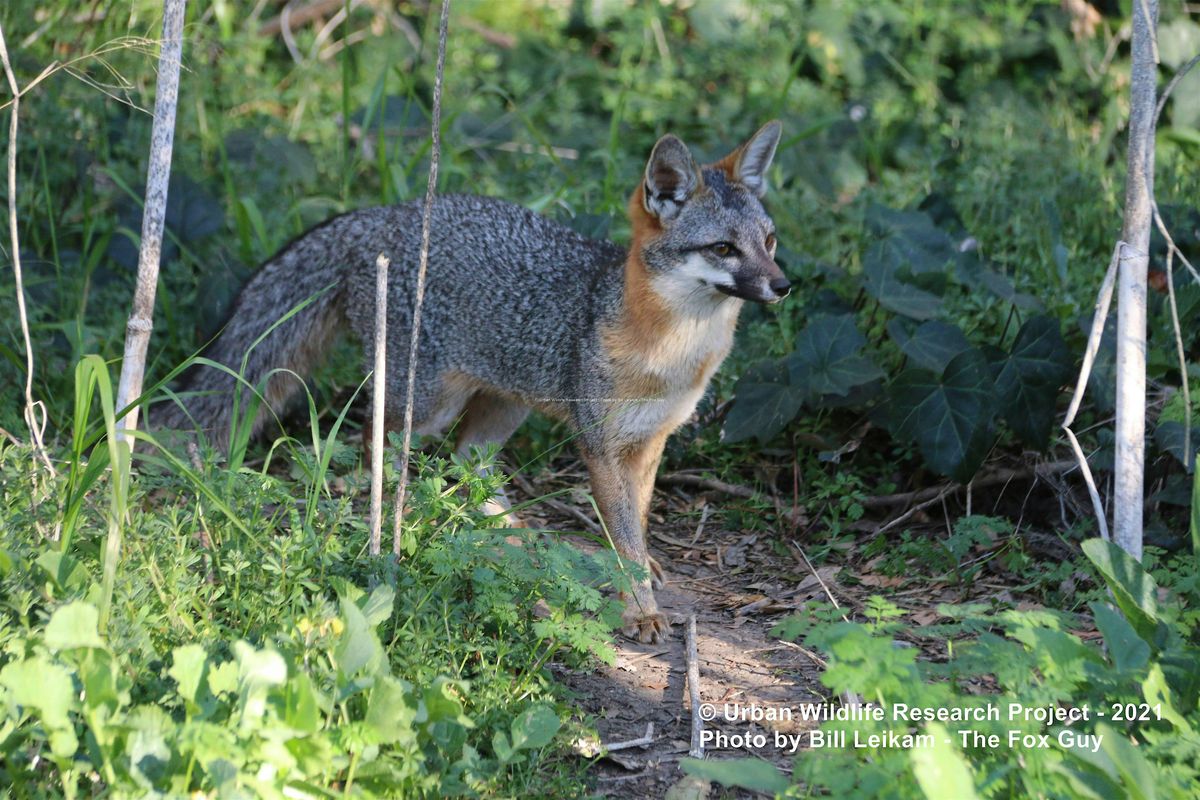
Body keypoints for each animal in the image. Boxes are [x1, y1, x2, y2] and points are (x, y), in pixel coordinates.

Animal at [158, 121, 790, 643]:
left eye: (770, 241)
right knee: (375, 441)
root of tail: (384, 212)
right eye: (723, 248)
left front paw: (642, 567)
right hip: (429, 401)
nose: (784, 286)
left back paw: (507, 530)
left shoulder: (651, 440)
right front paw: (640, 609)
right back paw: (396, 517)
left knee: (467, 460)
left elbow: (635, 518)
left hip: (506, 404)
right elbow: (624, 532)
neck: (673, 352)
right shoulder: (600, 445)